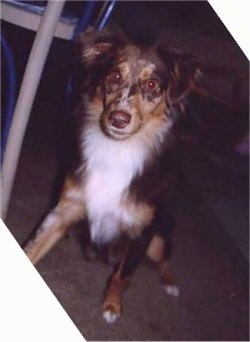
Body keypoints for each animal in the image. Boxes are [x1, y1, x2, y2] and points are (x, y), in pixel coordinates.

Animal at [24, 29, 200, 324]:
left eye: (152, 84)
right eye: (115, 76)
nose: (118, 119)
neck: (118, 148)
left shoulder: (142, 232)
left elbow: (123, 273)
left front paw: (112, 305)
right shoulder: (64, 209)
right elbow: (33, 248)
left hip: (159, 234)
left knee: (163, 256)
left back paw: (169, 281)